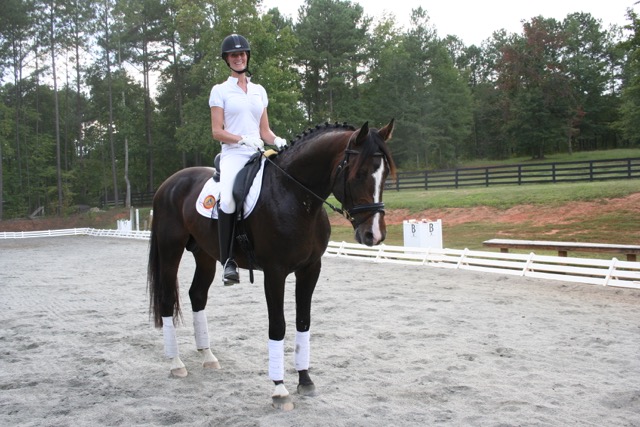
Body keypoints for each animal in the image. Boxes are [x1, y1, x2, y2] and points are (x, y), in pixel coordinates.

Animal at [147, 120, 396, 409]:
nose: (374, 235)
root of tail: (169, 183)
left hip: (205, 254)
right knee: (167, 300)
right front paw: (279, 389)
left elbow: (303, 322)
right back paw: (176, 363)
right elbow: (278, 325)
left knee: (197, 295)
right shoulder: (275, 273)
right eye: (359, 174)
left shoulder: (310, 269)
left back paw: (208, 357)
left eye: (385, 175)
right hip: (170, 250)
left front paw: (305, 380)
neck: (295, 196)